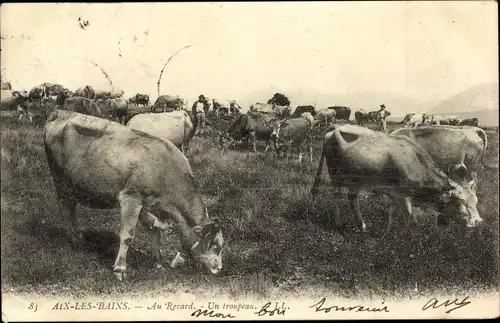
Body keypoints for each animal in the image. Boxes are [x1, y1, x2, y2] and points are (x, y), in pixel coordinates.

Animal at [45, 110, 225, 280]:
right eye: (214, 245)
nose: (219, 269)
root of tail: (60, 112)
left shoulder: (151, 205)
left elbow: (155, 229)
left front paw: (157, 261)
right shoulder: (130, 198)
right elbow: (127, 235)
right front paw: (120, 269)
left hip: (72, 183)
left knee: (72, 207)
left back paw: (79, 235)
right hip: (60, 179)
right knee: (65, 207)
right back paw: (73, 239)